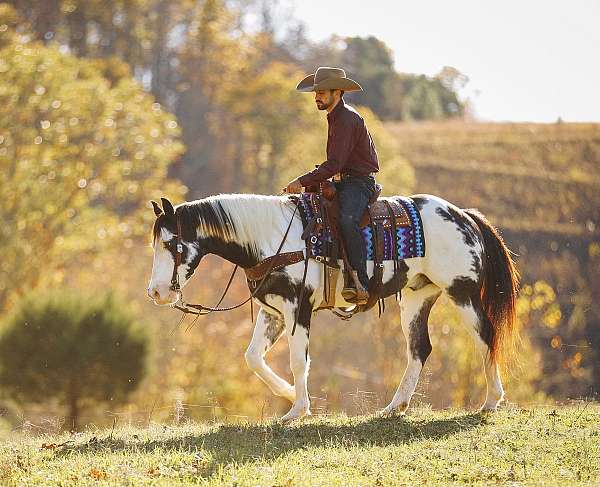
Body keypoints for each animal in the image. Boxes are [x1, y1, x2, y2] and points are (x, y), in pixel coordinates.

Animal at [148, 194, 516, 424]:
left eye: (170, 243)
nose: (155, 292)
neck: (272, 239)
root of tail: (464, 215)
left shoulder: (298, 309)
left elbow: (298, 361)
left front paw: (297, 409)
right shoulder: (274, 312)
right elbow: (253, 357)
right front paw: (288, 393)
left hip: (462, 291)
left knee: (486, 336)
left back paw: (491, 400)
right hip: (416, 296)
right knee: (419, 349)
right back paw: (395, 406)